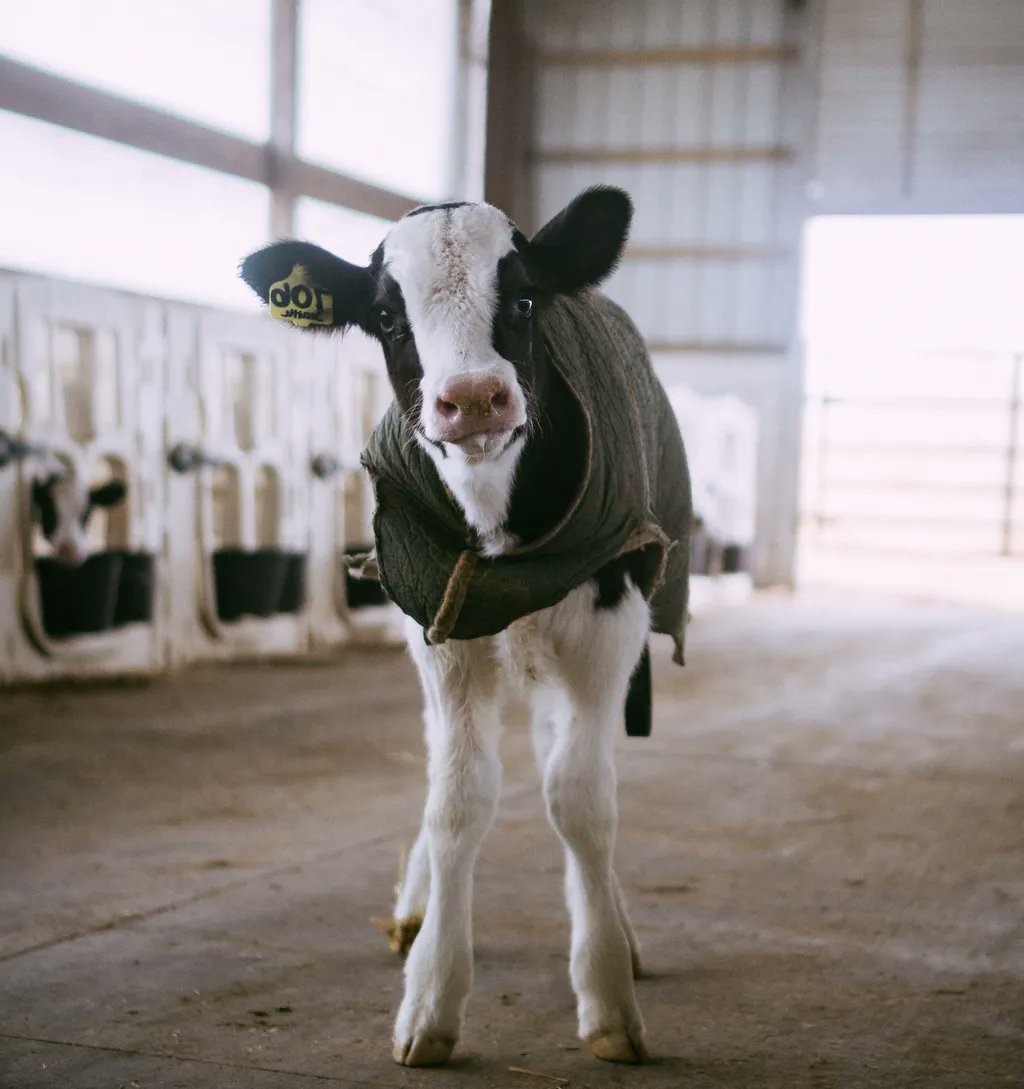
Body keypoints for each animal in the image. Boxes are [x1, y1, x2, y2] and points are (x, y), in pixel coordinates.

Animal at [240, 186, 691, 1068]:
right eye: (387, 317)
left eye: (522, 299)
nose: (476, 397)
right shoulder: (437, 622)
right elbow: (457, 796)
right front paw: (431, 997)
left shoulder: (610, 615)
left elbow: (582, 798)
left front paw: (607, 997)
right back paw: (415, 906)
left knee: (564, 758)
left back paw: (617, 930)